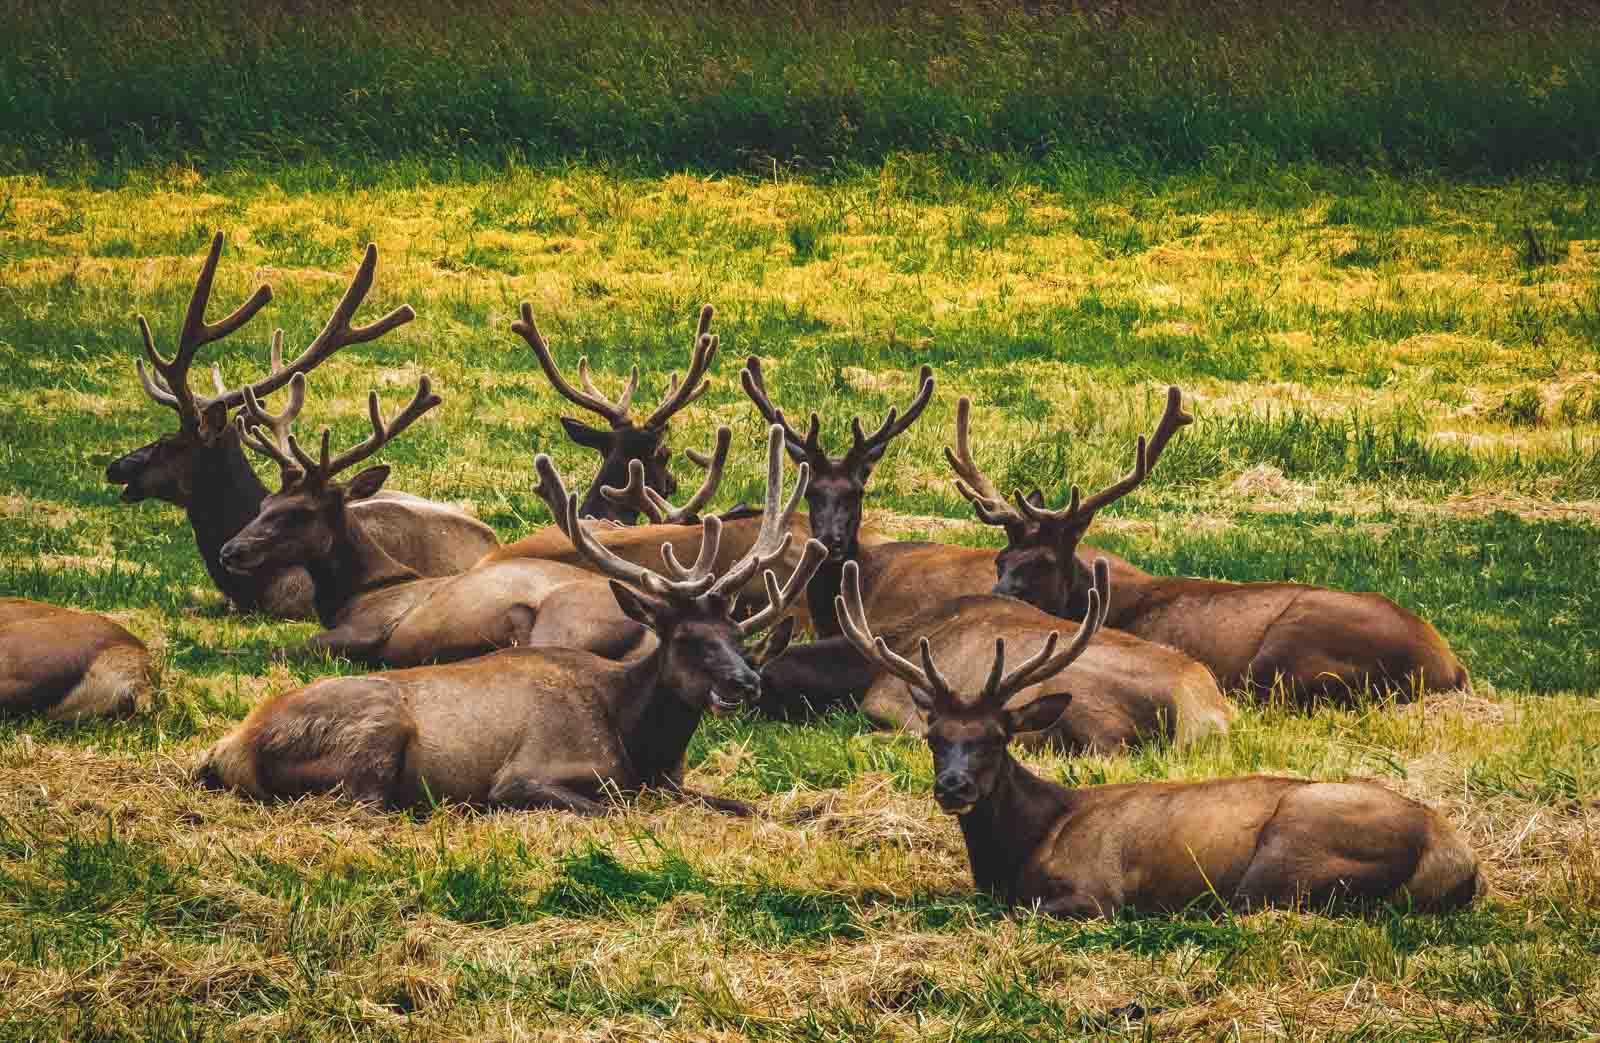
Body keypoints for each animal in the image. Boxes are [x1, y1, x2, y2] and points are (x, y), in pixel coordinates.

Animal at [195, 425, 827, 816]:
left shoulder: (674, 783)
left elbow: (744, 804)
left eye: (738, 636)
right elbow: (613, 808)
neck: (640, 743)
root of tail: (226, 750)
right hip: (376, 733)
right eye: (688, 638)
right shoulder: (524, 774)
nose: (746, 682)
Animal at [218, 373, 744, 667]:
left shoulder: (369, 628)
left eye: (299, 513)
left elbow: (279, 648)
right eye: (264, 505)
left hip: (560, 625)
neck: (356, 590)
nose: (231, 550)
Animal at [833, 562, 1480, 916]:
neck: (1024, 846)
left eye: (997, 737)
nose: (954, 787)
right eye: (934, 737)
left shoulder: (1096, 889)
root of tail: (1457, 858)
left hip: (1288, 858)